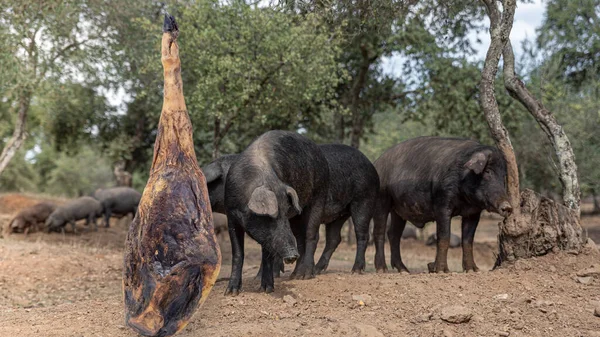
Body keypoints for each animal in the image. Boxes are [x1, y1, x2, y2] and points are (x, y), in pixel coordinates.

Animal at [376, 136, 510, 272]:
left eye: (503, 176)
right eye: (487, 171)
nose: (508, 207)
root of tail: (377, 162)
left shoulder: (473, 212)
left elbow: (468, 240)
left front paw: (473, 270)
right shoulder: (442, 205)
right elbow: (444, 237)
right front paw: (441, 270)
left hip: (398, 210)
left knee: (394, 234)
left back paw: (404, 270)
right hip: (382, 199)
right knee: (380, 232)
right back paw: (382, 269)